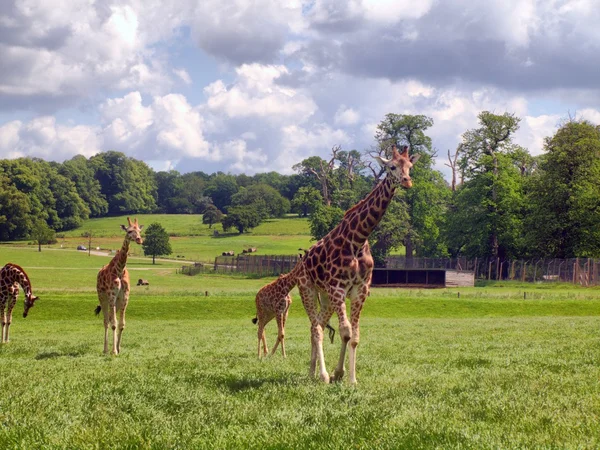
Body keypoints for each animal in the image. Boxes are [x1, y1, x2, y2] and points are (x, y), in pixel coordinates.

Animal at [95, 218, 144, 356]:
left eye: (139, 231)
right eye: (129, 231)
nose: (139, 239)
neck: (120, 269)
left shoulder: (125, 297)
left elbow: (121, 324)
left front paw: (118, 348)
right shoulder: (112, 295)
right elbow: (114, 324)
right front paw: (114, 351)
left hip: (116, 302)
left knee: (110, 319)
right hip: (103, 297)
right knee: (106, 321)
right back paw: (105, 349)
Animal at [298, 144, 420, 384]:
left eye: (410, 166)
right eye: (392, 166)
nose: (407, 181)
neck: (358, 239)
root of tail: (302, 260)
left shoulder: (360, 289)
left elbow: (354, 335)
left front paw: (350, 378)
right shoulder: (338, 288)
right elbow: (345, 331)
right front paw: (337, 373)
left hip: (325, 296)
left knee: (317, 325)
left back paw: (312, 371)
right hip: (307, 288)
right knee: (315, 328)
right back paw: (321, 374)